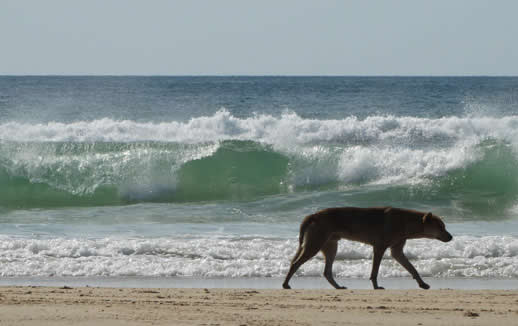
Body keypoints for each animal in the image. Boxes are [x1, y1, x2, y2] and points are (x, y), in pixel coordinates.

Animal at [284, 208, 456, 290]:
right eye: (441, 227)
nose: (451, 237)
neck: (406, 222)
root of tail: (313, 215)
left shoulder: (397, 250)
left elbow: (412, 268)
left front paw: (422, 283)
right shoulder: (379, 247)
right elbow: (375, 271)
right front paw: (376, 286)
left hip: (330, 245)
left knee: (327, 271)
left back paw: (338, 287)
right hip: (315, 243)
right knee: (295, 263)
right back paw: (286, 284)